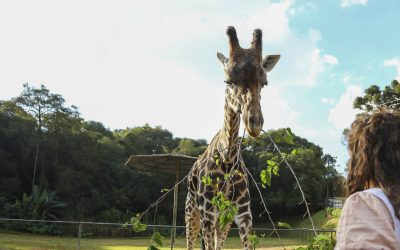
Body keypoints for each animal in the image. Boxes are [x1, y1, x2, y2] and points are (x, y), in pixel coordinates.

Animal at [185, 26, 282, 249]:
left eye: (264, 83)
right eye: (228, 80)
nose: (254, 123)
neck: (228, 159)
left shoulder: (243, 213)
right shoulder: (208, 212)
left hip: (224, 221)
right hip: (192, 214)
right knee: (190, 242)